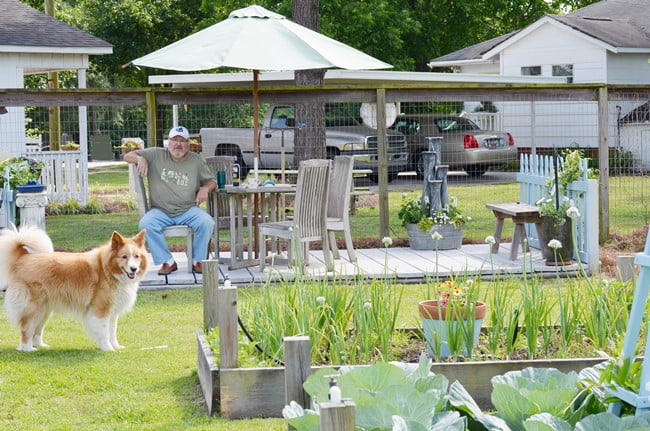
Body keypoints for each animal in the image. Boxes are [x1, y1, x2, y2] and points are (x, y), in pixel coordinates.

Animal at [0, 228, 147, 352]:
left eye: (137, 256)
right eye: (124, 257)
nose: (134, 269)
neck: (107, 270)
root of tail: (23, 257)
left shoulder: (112, 312)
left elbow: (112, 331)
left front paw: (116, 346)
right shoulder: (100, 310)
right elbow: (104, 332)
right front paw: (107, 348)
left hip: (45, 310)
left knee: (37, 329)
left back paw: (40, 345)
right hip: (34, 308)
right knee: (26, 328)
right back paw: (27, 349)